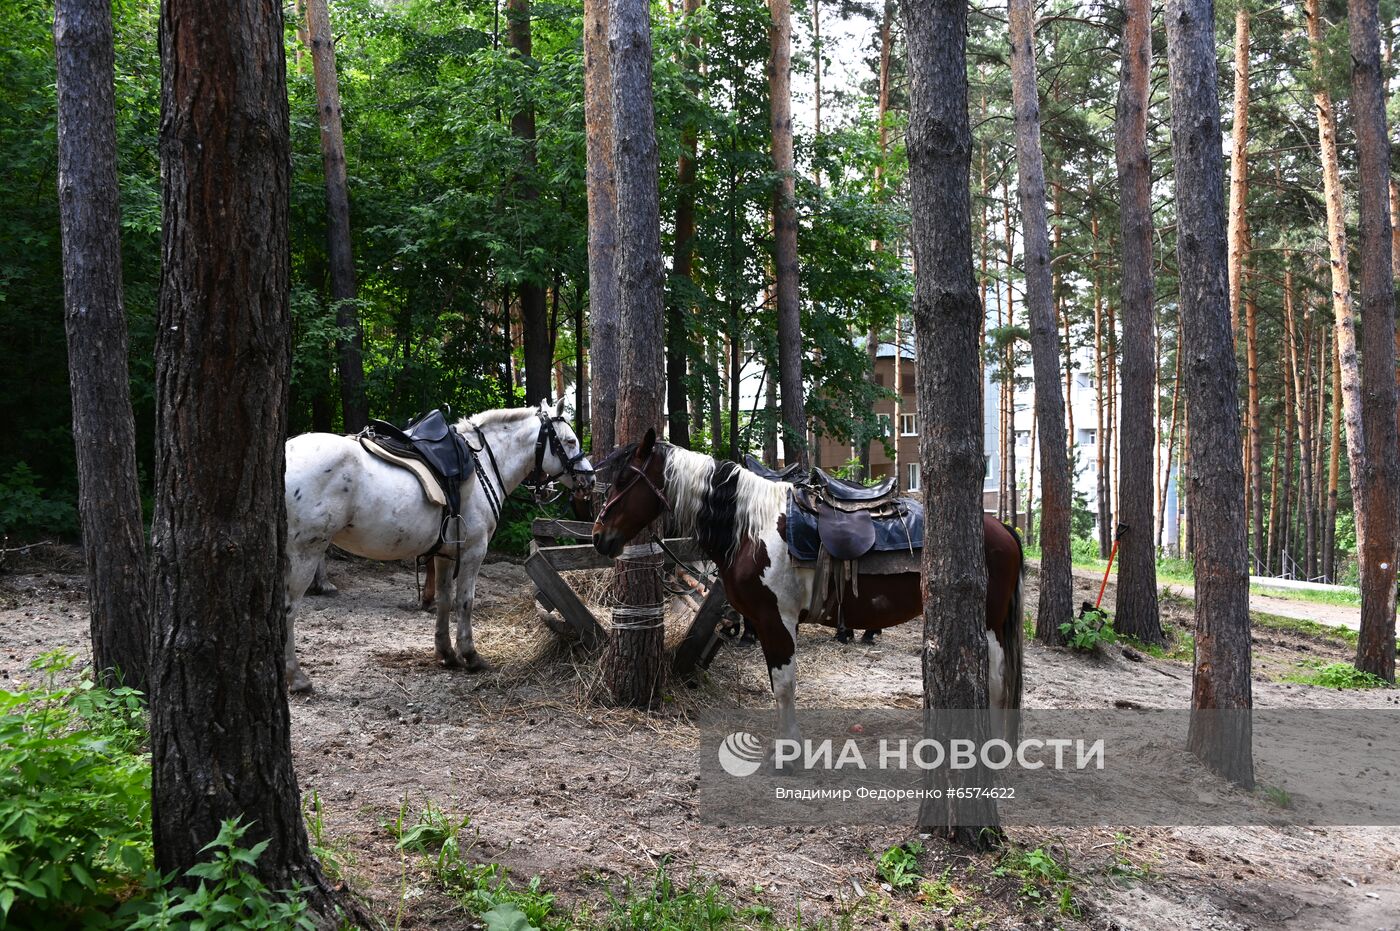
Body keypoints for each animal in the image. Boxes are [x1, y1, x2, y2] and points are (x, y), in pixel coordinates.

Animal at [284, 400, 590, 688]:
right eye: (570, 441)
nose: (590, 478)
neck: (484, 463)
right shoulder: (473, 552)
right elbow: (464, 601)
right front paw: (470, 655)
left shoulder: (445, 554)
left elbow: (444, 599)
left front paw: (446, 653)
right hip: (305, 552)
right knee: (288, 607)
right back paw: (296, 677)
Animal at [593, 431, 1030, 744]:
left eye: (624, 479)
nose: (599, 537)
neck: (750, 528)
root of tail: (1003, 529)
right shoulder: (764, 624)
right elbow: (777, 684)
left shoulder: (777, 620)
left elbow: (785, 686)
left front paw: (788, 753)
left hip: (991, 624)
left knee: (996, 680)